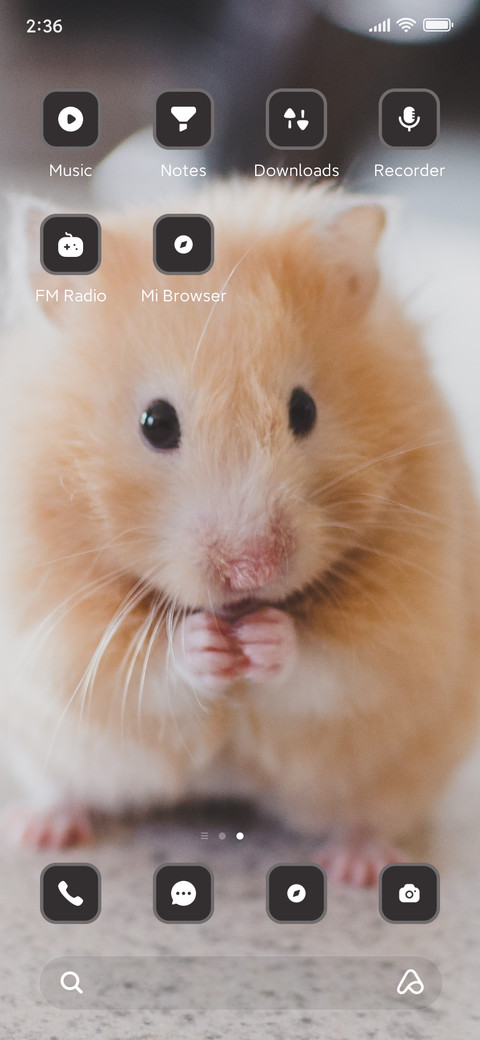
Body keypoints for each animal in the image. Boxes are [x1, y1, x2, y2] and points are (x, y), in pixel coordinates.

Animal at [0, 180, 479, 885]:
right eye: (156, 422)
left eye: (304, 409)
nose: (253, 571)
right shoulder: (54, 625)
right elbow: (143, 668)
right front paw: (208, 645)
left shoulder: (407, 628)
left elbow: (333, 664)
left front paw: (263, 639)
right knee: (68, 788)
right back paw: (40, 830)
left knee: (371, 815)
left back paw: (358, 866)